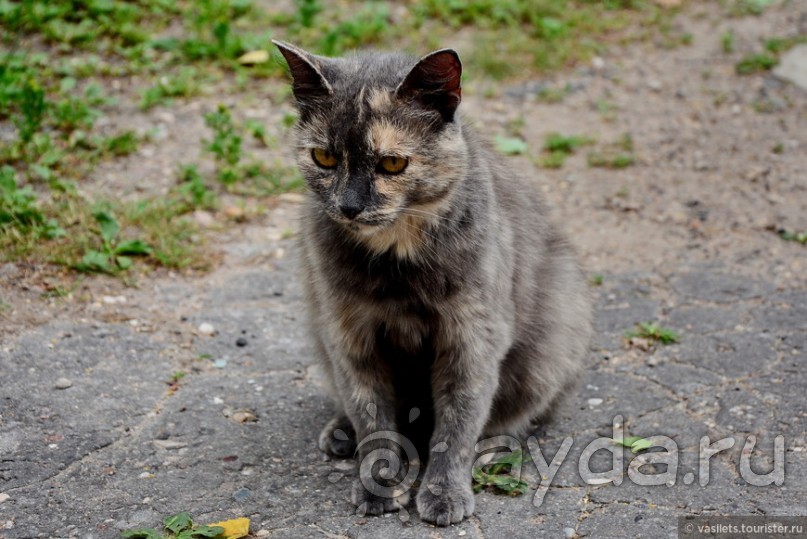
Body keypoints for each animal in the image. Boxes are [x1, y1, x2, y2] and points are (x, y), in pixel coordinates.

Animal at [274, 41, 592, 528]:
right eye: (323, 158)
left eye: (392, 162)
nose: (349, 206)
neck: (396, 267)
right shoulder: (350, 338)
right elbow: (372, 417)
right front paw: (378, 483)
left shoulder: (471, 339)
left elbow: (456, 425)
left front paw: (443, 493)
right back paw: (341, 431)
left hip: (556, 331)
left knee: (520, 416)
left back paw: (491, 450)